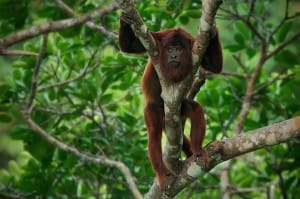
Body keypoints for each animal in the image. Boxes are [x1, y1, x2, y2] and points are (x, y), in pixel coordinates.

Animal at [118, 14, 221, 188]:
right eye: (170, 49)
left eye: (179, 49)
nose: (173, 56)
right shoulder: (156, 40)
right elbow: (129, 46)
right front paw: (125, 19)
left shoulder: (195, 45)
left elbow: (214, 66)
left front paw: (213, 31)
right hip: (152, 108)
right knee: (154, 133)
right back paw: (161, 171)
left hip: (179, 108)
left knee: (195, 110)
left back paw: (198, 150)